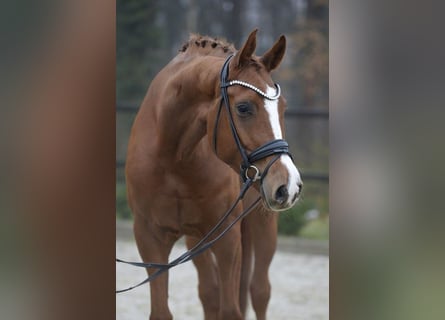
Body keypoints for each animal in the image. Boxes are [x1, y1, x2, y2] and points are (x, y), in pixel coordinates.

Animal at [125, 30, 302, 320]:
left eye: (283, 108)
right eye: (243, 108)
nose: (289, 185)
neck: (175, 158)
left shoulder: (227, 238)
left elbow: (230, 309)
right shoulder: (150, 237)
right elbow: (163, 310)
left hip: (261, 223)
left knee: (259, 290)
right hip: (197, 239)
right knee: (209, 292)